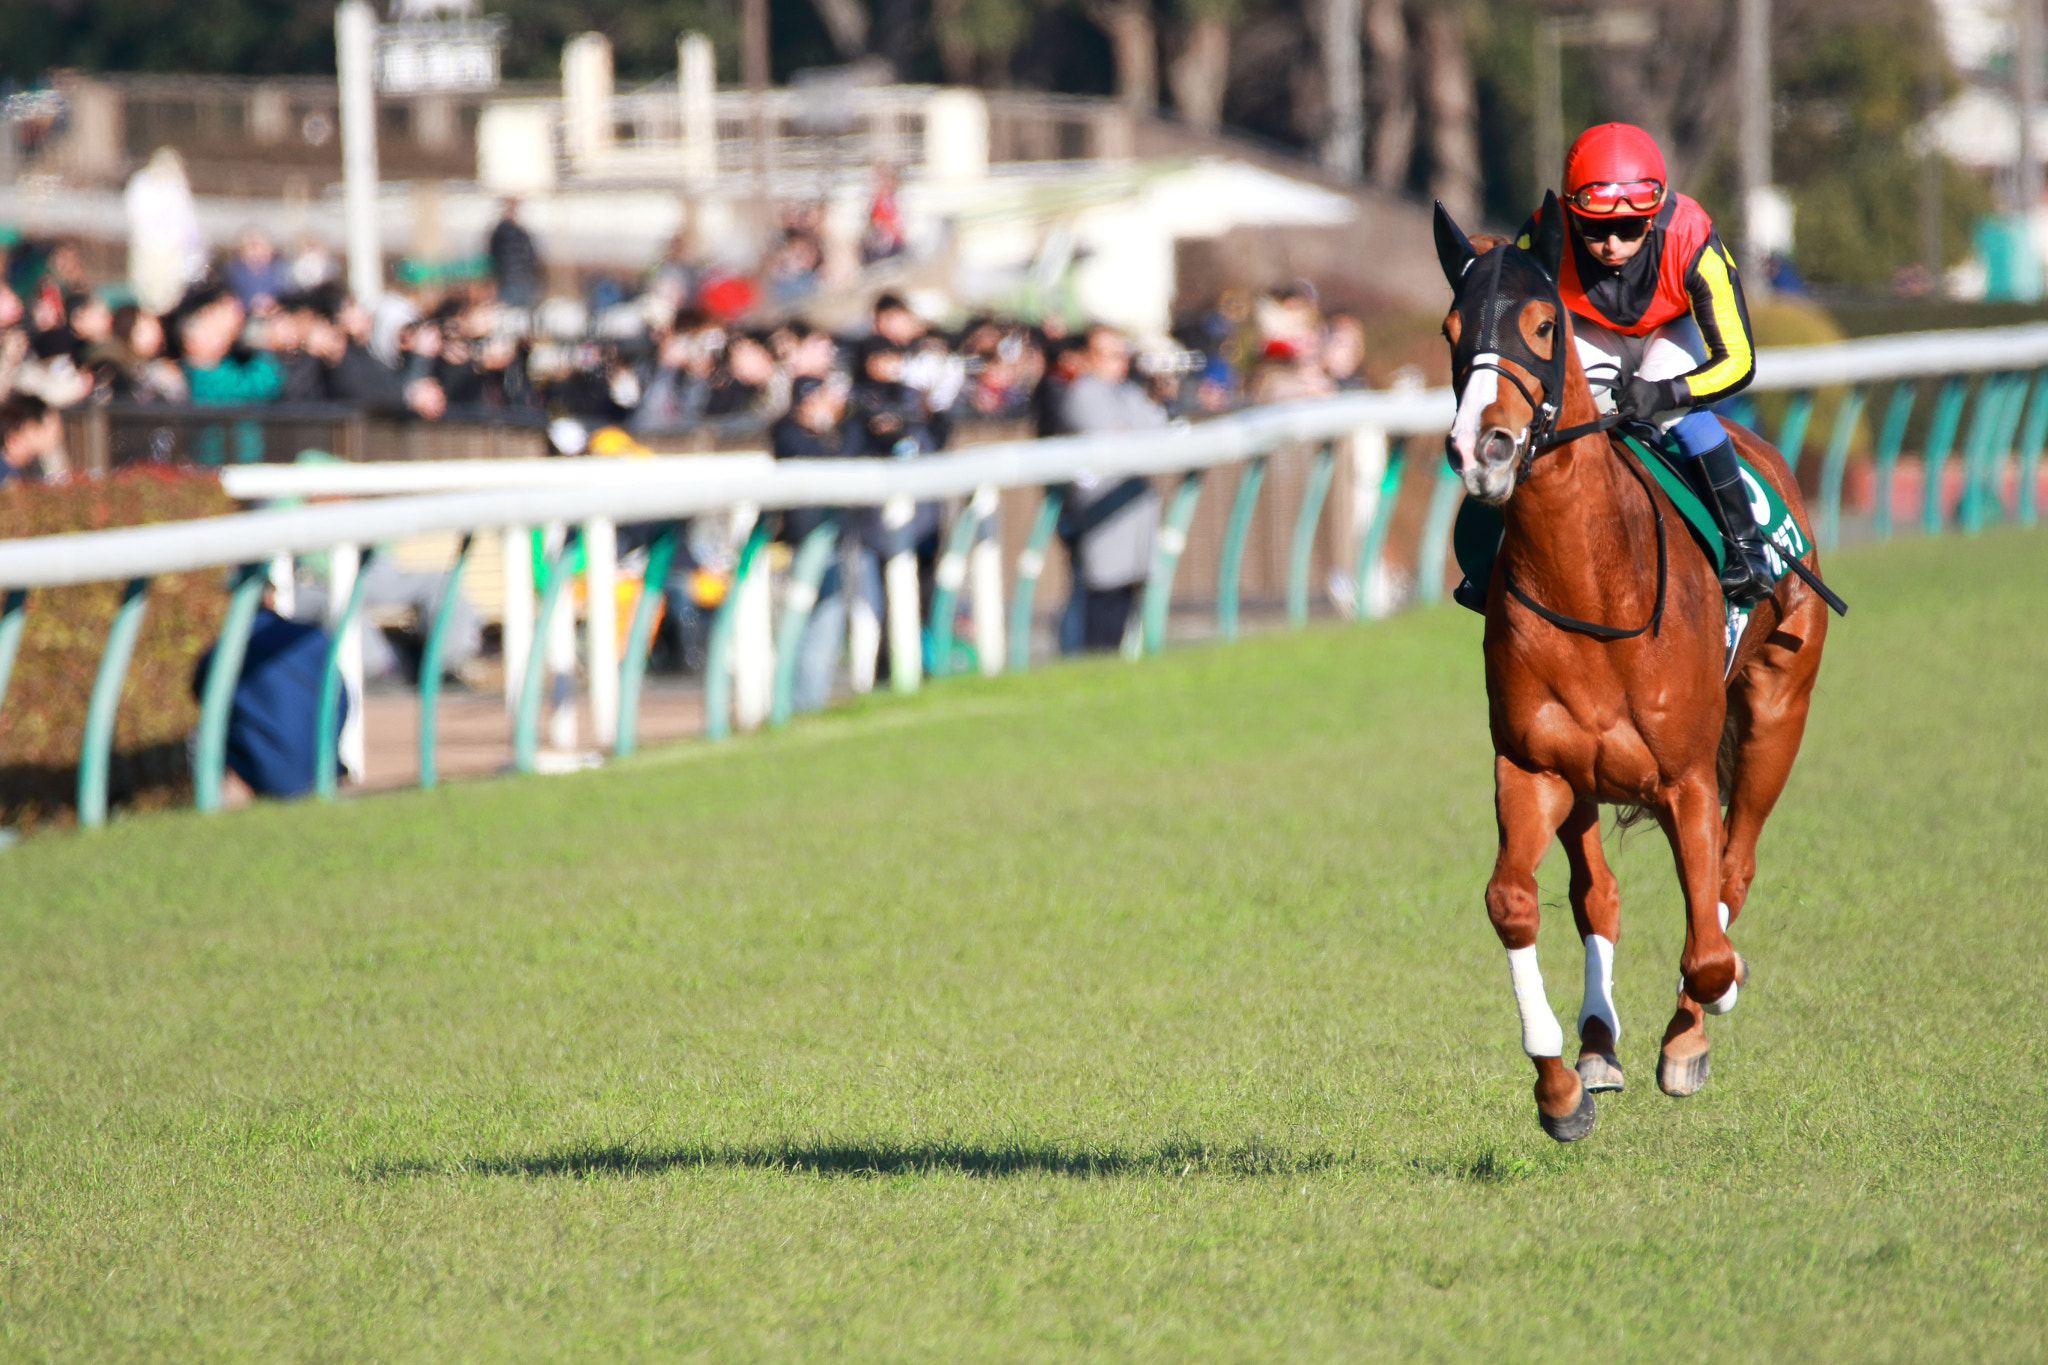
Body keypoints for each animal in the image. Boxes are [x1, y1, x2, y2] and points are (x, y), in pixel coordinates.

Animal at [1433, 196, 1830, 1141]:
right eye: (1452, 330)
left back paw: (1687, 1032)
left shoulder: (1685, 774)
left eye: (1543, 325)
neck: (1589, 577)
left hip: (1776, 712)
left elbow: (1710, 946)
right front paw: (1559, 1083)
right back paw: (1598, 1043)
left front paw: (1704, 1012)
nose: (1483, 447)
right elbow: (1515, 901)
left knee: (1732, 871)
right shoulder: (1533, 766)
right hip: (1583, 781)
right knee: (1600, 894)